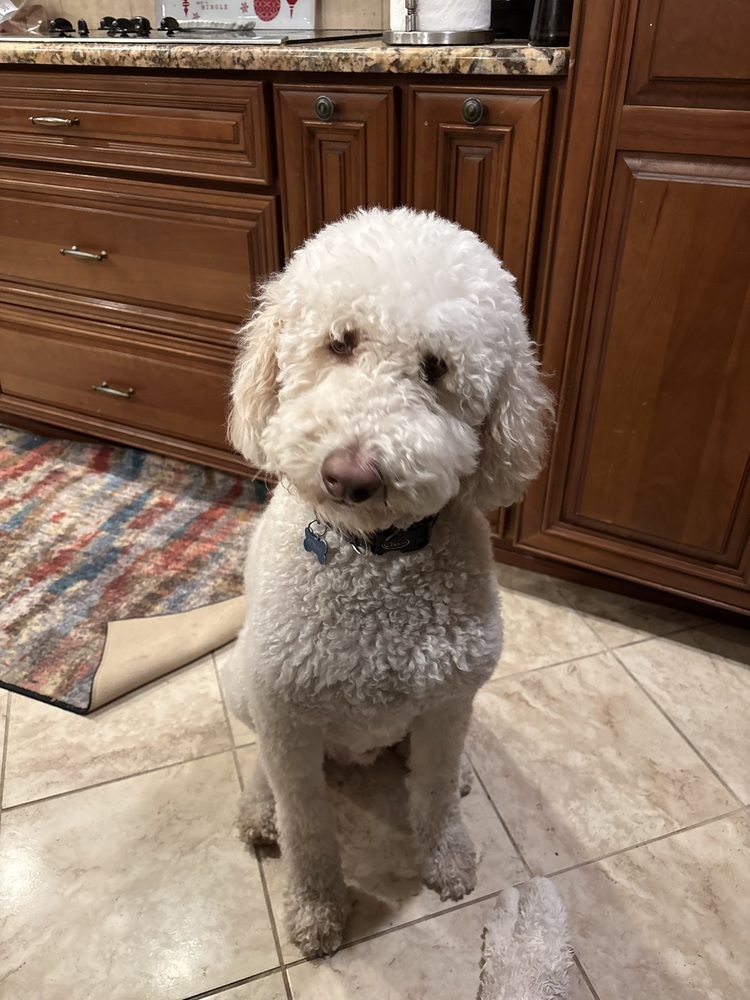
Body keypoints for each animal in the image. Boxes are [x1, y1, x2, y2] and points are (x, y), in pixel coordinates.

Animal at [220, 205, 556, 960]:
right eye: (340, 343)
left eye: (436, 368)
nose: (351, 475)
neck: (375, 560)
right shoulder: (286, 715)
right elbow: (308, 828)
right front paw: (316, 911)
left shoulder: (448, 700)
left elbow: (431, 793)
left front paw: (448, 859)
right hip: (246, 686)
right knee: (267, 773)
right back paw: (259, 811)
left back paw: (463, 776)